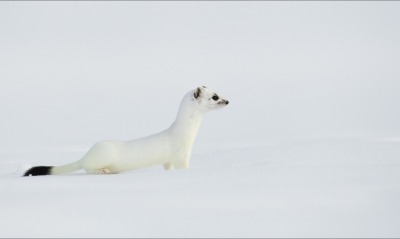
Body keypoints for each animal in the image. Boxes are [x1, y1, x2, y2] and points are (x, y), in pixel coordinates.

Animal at [24, 87, 228, 176]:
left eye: (218, 91)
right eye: (215, 96)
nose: (227, 101)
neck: (187, 135)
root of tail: (88, 153)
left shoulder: (168, 159)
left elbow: (167, 167)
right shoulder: (181, 155)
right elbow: (183, 167)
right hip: (102, 155)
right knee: (88, 167)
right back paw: (104, 170)